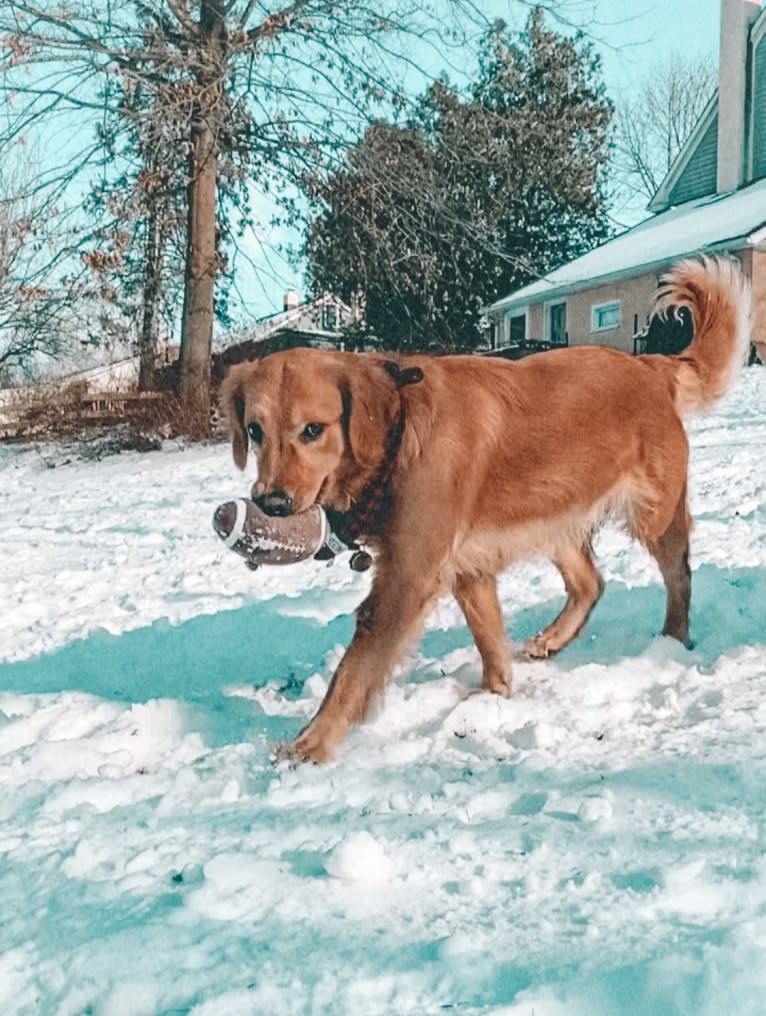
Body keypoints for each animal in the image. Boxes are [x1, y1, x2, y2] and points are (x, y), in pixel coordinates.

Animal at [220, 258, 747, 759]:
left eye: (313, 429)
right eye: (255, 431)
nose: (271, 502)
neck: (399, 433)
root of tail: (652, 365)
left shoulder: (408, 576)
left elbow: (353, 670)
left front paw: (312, 744)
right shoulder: (467, 567)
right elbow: (490, 637)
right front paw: (494, 695)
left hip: (654, 514)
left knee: (679, 576)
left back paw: (672, 641)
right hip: (553, 510)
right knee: (590, 583)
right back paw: (554, 638)